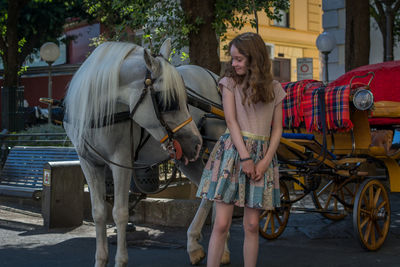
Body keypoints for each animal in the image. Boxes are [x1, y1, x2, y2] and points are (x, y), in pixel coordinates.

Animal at [65, 39, 205, 267]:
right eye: (169, 101)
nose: (196, 142)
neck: (99, 114)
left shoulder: (120, 161)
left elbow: (120, 212)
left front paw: (121, 260)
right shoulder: (89, 163)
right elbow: (99, 212)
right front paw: (101, 259)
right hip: (189, 161)